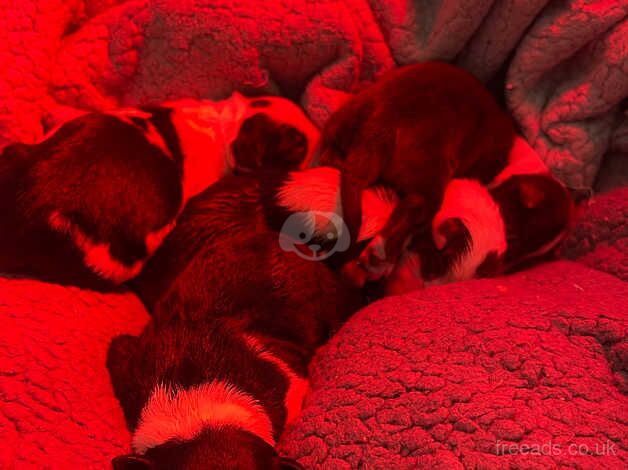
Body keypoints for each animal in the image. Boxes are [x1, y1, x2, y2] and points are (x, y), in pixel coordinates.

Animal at [318, 59, 516, 280]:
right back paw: (380, 257)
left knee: (330, 156)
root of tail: (382, 121)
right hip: (432, 176)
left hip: (344, 120)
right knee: (415, 205)